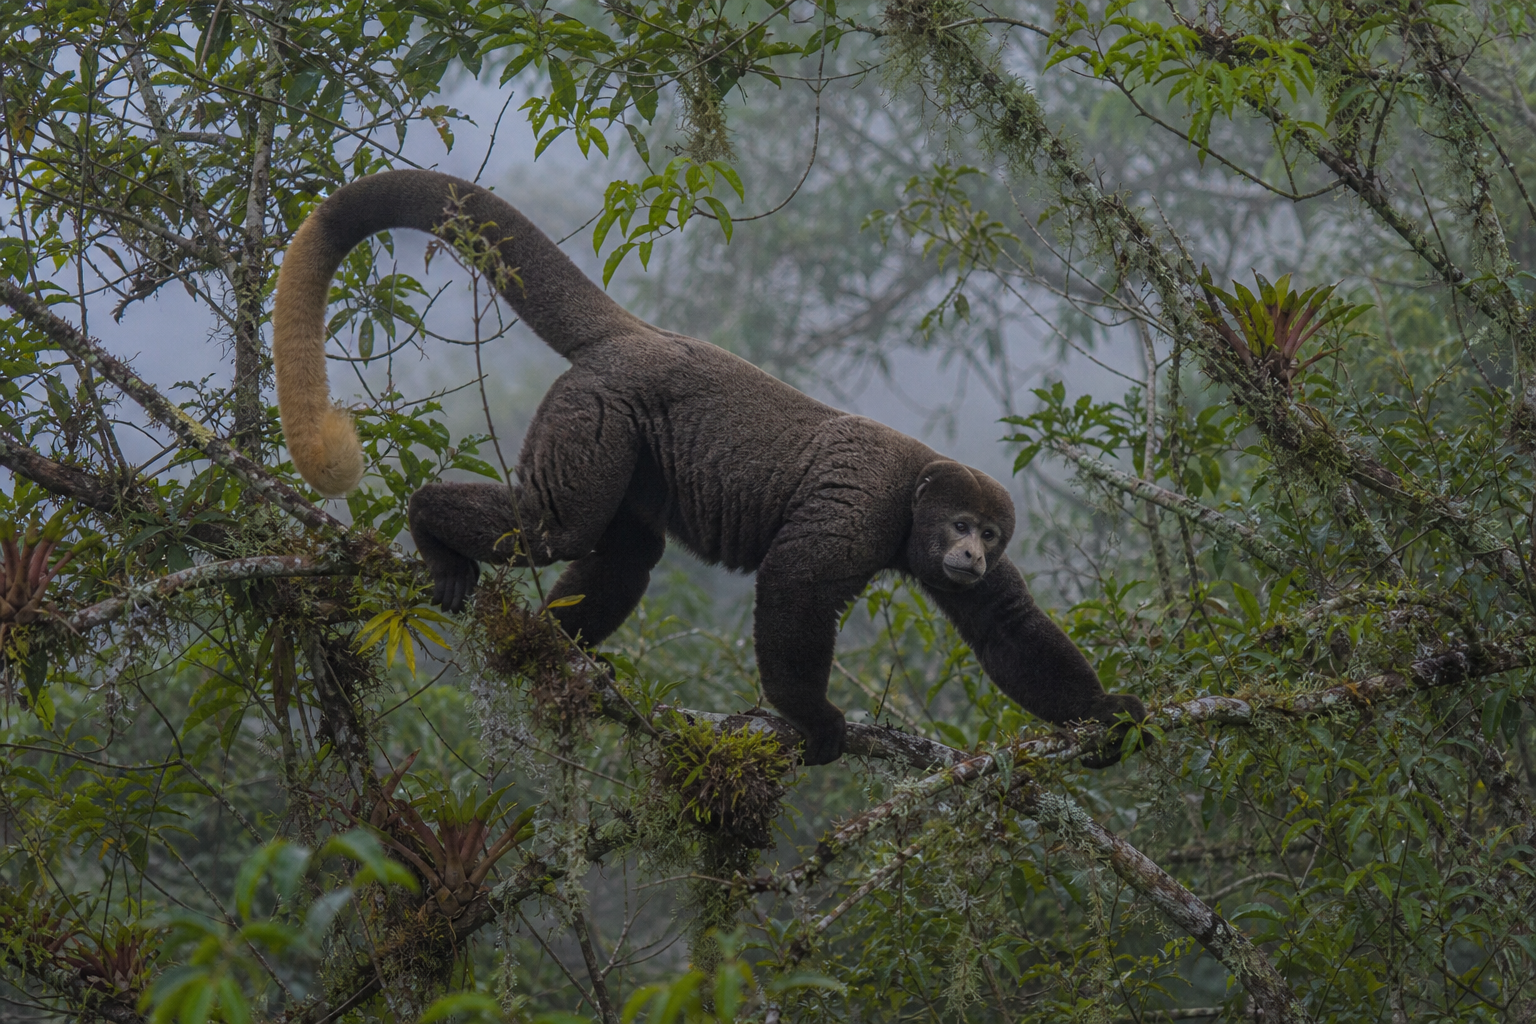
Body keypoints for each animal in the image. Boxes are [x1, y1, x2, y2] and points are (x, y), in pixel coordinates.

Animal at [272, 169, 1148, 766]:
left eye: (992, 536)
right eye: (961, 524)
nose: (969, 552)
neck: (912, 504)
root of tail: (640, 337)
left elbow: (1007, 628)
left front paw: (1107, 713)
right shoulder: (862, 508)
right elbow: (796, 581)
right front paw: (813, 718)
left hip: (626, 445)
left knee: (628, 550)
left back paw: (554, 651)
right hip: (596, 408)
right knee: (556, 526)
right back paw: (431, 529)